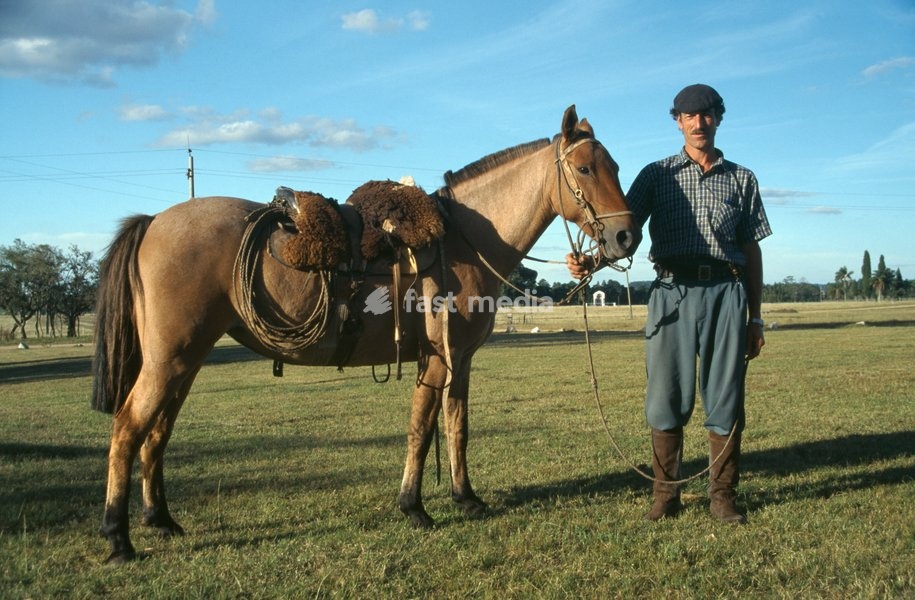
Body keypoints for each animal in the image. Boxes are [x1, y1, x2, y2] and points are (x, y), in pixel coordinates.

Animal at [91, 105, 641, 564]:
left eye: (614, 166)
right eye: (585, 169)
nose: (626, 236)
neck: (463, 242)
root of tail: (154, 222)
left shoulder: (459, 358)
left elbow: (456, 426)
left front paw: (465, 498)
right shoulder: (437, 359)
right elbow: (422, 428)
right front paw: (413, 507)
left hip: (185, 361)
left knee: (157, 433)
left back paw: (160, 520)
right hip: (169, 360)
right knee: (128, 429)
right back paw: (118, 539)